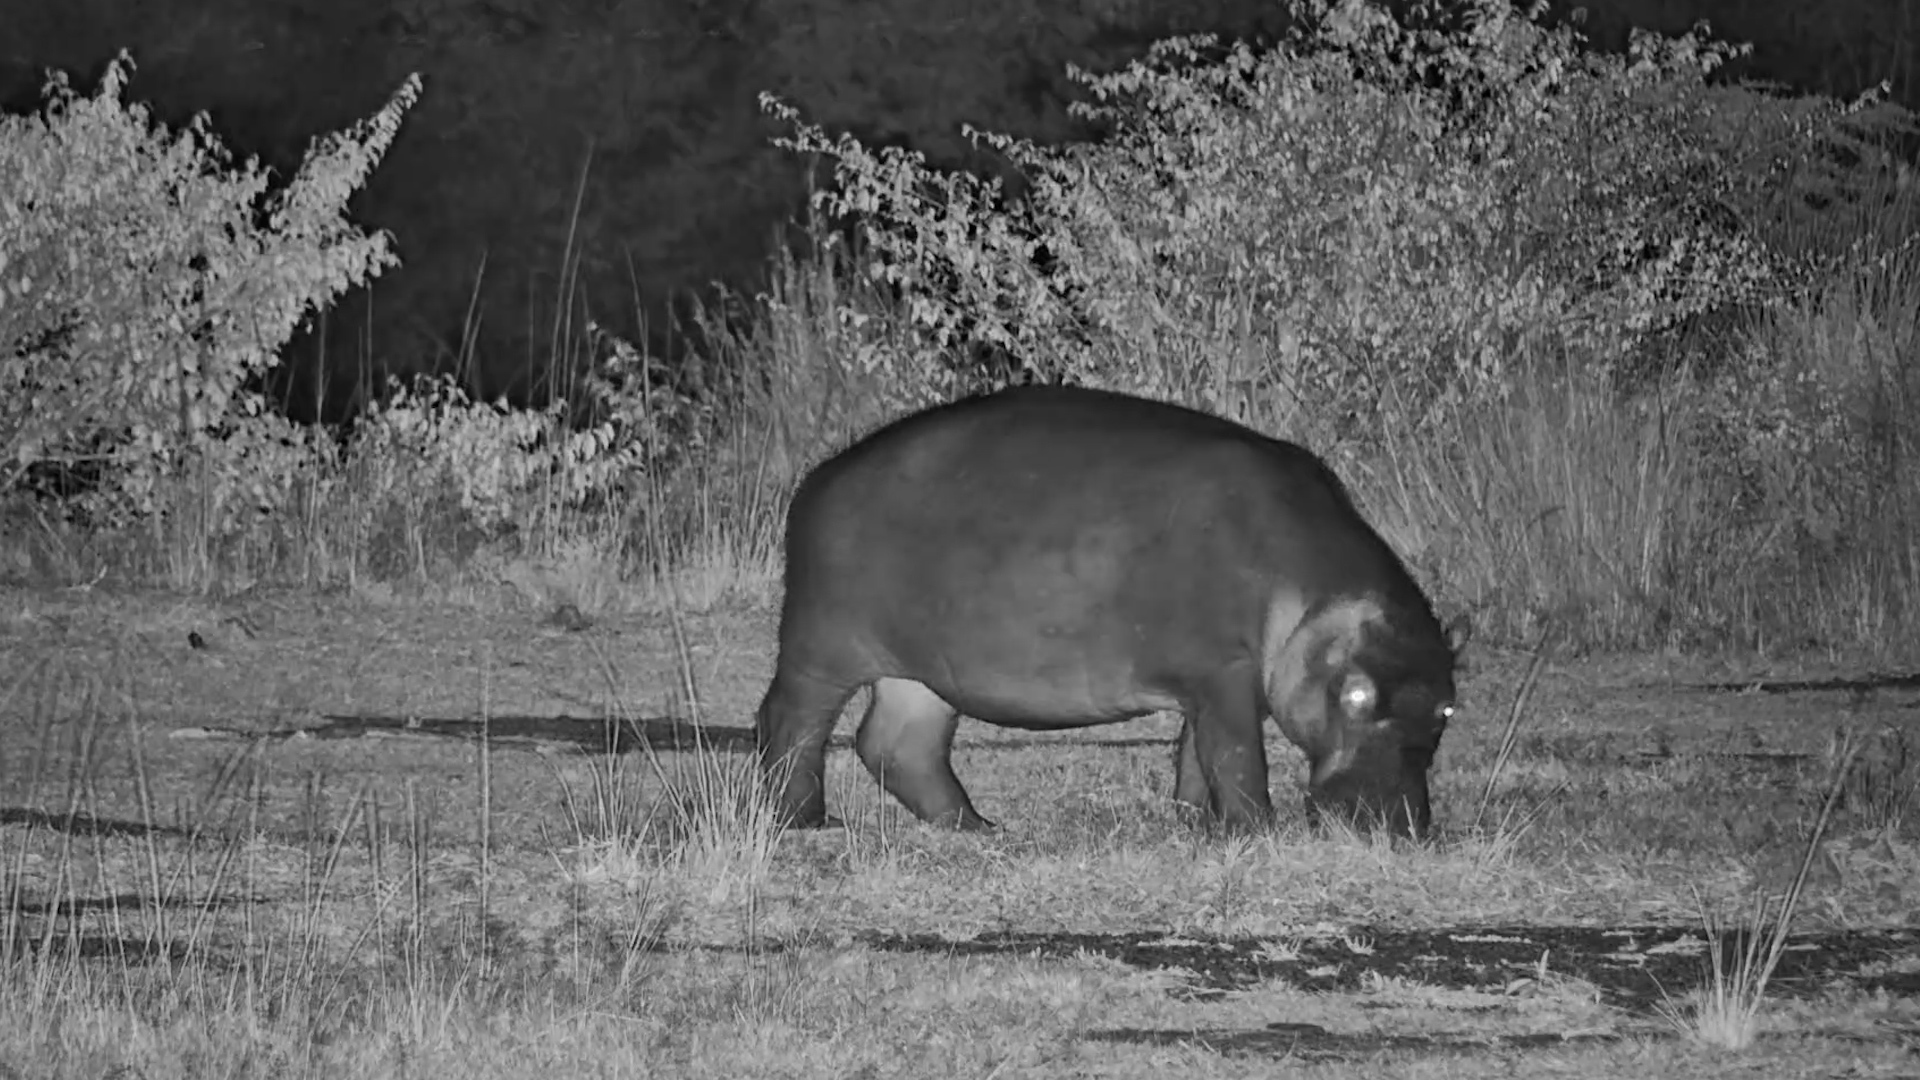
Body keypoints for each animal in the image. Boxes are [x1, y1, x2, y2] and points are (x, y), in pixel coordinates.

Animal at [755, 385, 1467, 838]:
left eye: (1446, 711)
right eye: (1354, 698)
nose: (1397, 826)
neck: (1314, 597)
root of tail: (816, 479)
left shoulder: (1215, 683)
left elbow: (1198, 756)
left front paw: (1196, 823)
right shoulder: (1222, 671)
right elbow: (1238, 756)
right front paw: (1260, 829)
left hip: (923, 672)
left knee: (898, 746)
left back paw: (978, 827)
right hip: (821, 646)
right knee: (790, 722)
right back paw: (808, 822)